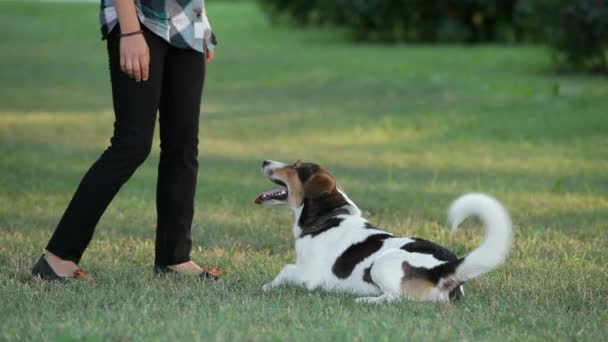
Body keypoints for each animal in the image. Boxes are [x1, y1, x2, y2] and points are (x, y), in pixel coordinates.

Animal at [254, 159, 510, 304]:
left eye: (295, 167)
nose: (264, 160)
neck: (330, 215)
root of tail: (445, 268)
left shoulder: (310, 276)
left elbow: (285, 270)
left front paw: (265, 287)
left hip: (381, 264)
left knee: (395, 299)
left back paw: (365, 300)